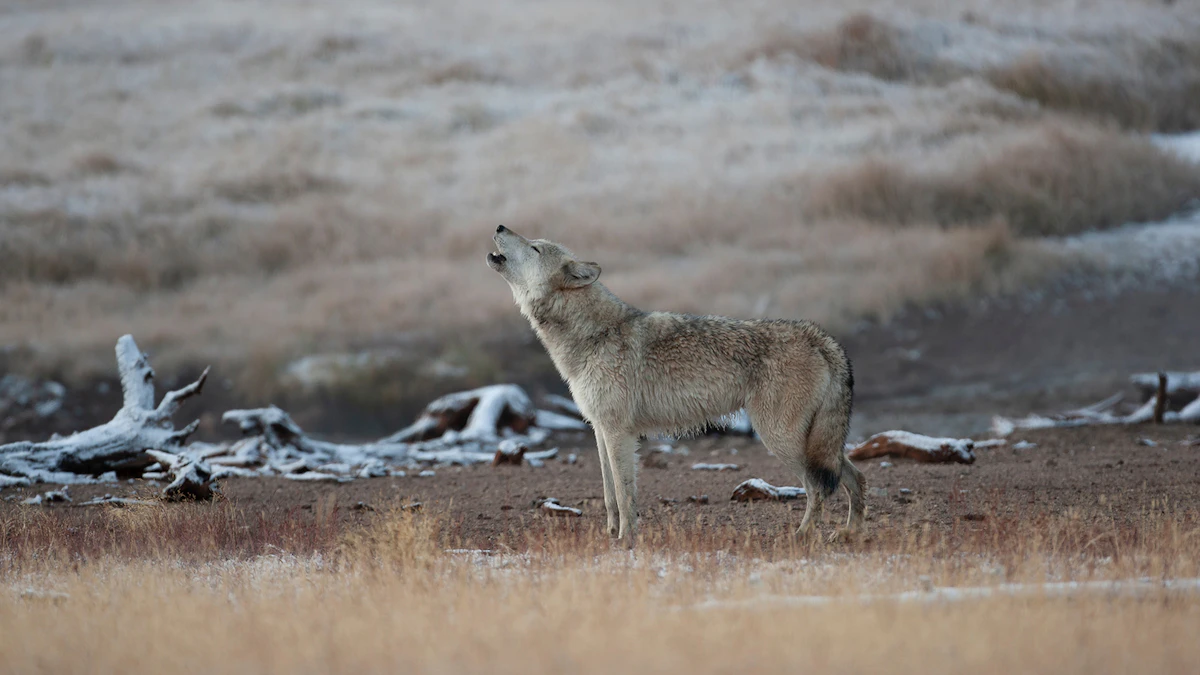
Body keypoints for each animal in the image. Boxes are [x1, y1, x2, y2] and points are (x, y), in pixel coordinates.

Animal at [487, 225, 865, 541]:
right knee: (854, 477)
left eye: (535, 247)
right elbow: (609, 494)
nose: (501, 227)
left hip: (781, 440)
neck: (593, 335)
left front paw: (626, 541)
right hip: (812, 445)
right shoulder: (600, 429)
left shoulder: (619, 432)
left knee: (818, 488)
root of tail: (819, 336)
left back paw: (802, 535)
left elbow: (624, 495)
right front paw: (610, 536)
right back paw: (849, 533)